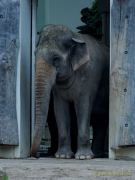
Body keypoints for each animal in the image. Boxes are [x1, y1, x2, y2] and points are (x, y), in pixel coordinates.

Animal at [30, 24, 108, 160]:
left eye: (56, 58)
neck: (74, 36)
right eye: (35, 54)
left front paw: (83, 157)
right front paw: (62, 156)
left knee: (100, 120)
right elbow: (60, 108)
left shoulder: (89, 77)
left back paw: (96, 154)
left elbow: (83, 107)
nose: (36, 156)